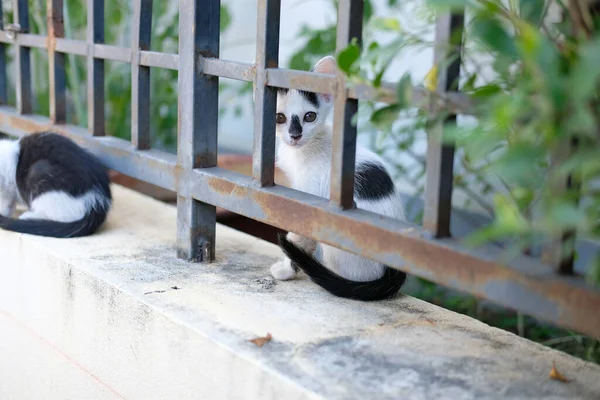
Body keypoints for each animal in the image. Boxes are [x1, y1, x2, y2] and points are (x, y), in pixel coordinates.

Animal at [272, 55, 408, 300]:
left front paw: (287, 270)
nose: (295, 135)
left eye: (309, 116)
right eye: (279, 117)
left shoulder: (308, 202)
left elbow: (299, 239)